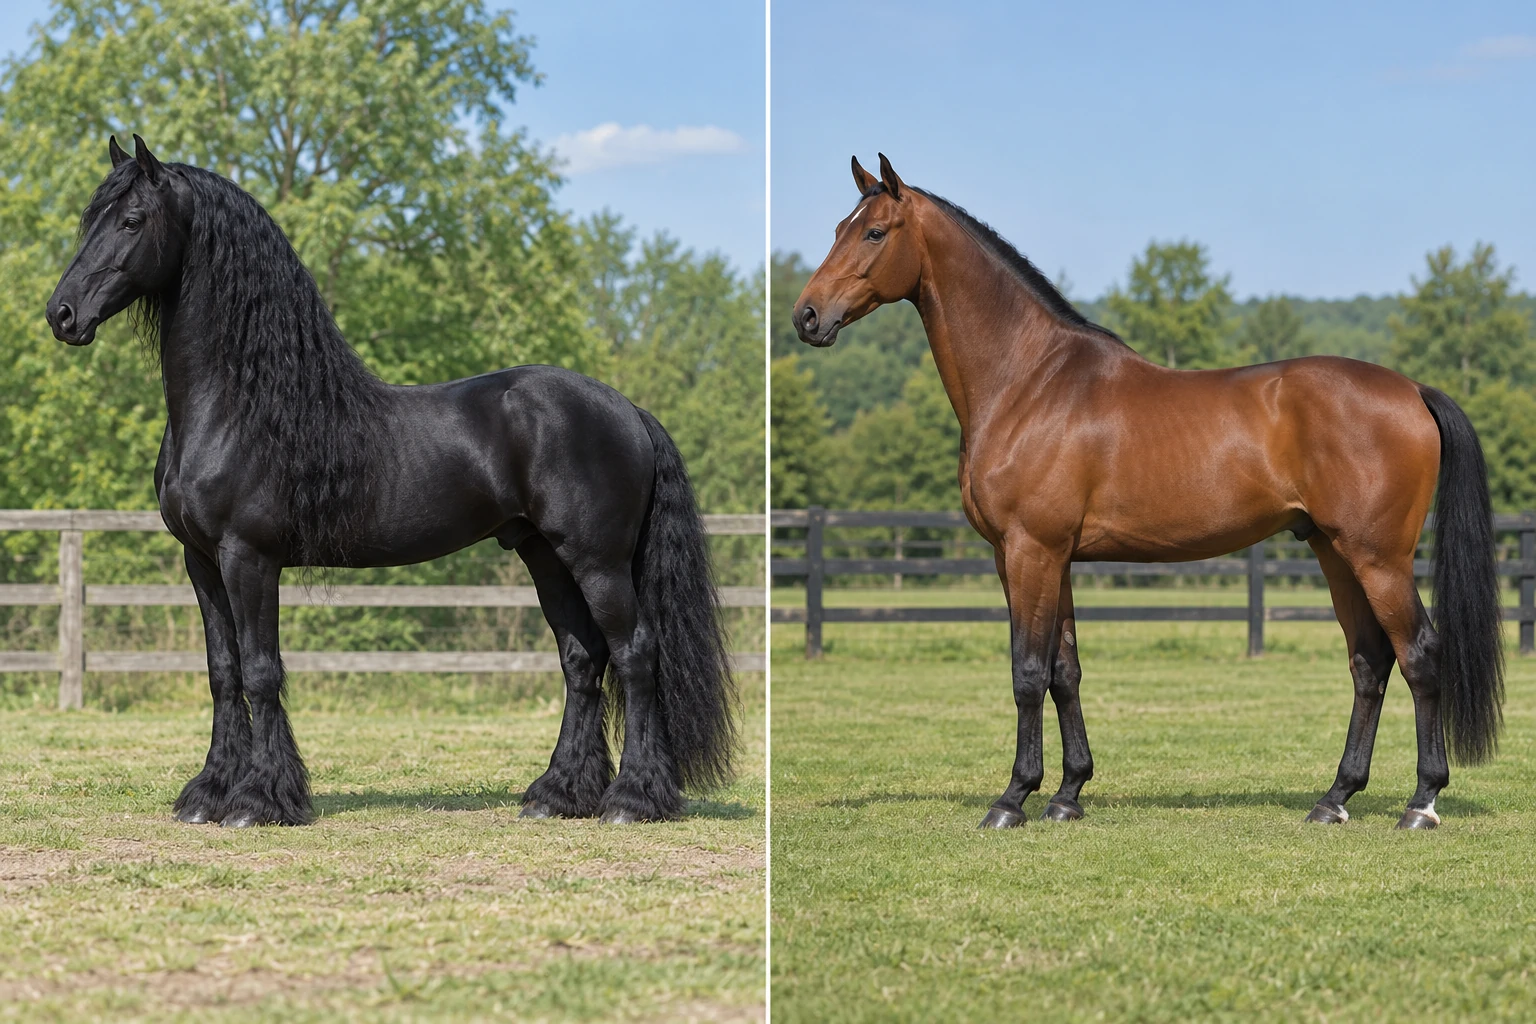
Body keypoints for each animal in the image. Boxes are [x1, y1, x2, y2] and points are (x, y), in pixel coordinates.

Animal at [45, 135, 736, 828]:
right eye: (90, 220)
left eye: (132, 221)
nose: (62, 314)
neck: (239, 407)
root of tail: (628, 410)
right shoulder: (201, 561)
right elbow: (223, 672)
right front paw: (209, 792)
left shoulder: (249, 558)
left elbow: (261, 671)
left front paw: (260, 799)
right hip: (545, 555)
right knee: (582, 659)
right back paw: (558, 794)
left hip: (597, 561)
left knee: (636, 654)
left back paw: (632, 799)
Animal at [792, 153, 1504, 831]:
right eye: (837, 230)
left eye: (875, 232)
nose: (807, 316)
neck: (1030, 382)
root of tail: (1412, 390)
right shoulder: (1052, 558)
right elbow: (1064, 672)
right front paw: (1068, 795)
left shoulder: (1028, 551)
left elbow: (1027, 672)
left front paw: (1014, 798)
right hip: (1334, 551)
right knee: (1369, 662)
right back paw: (1335, 799)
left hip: (1378, 557)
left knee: (1419, 655)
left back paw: (1421, 802)